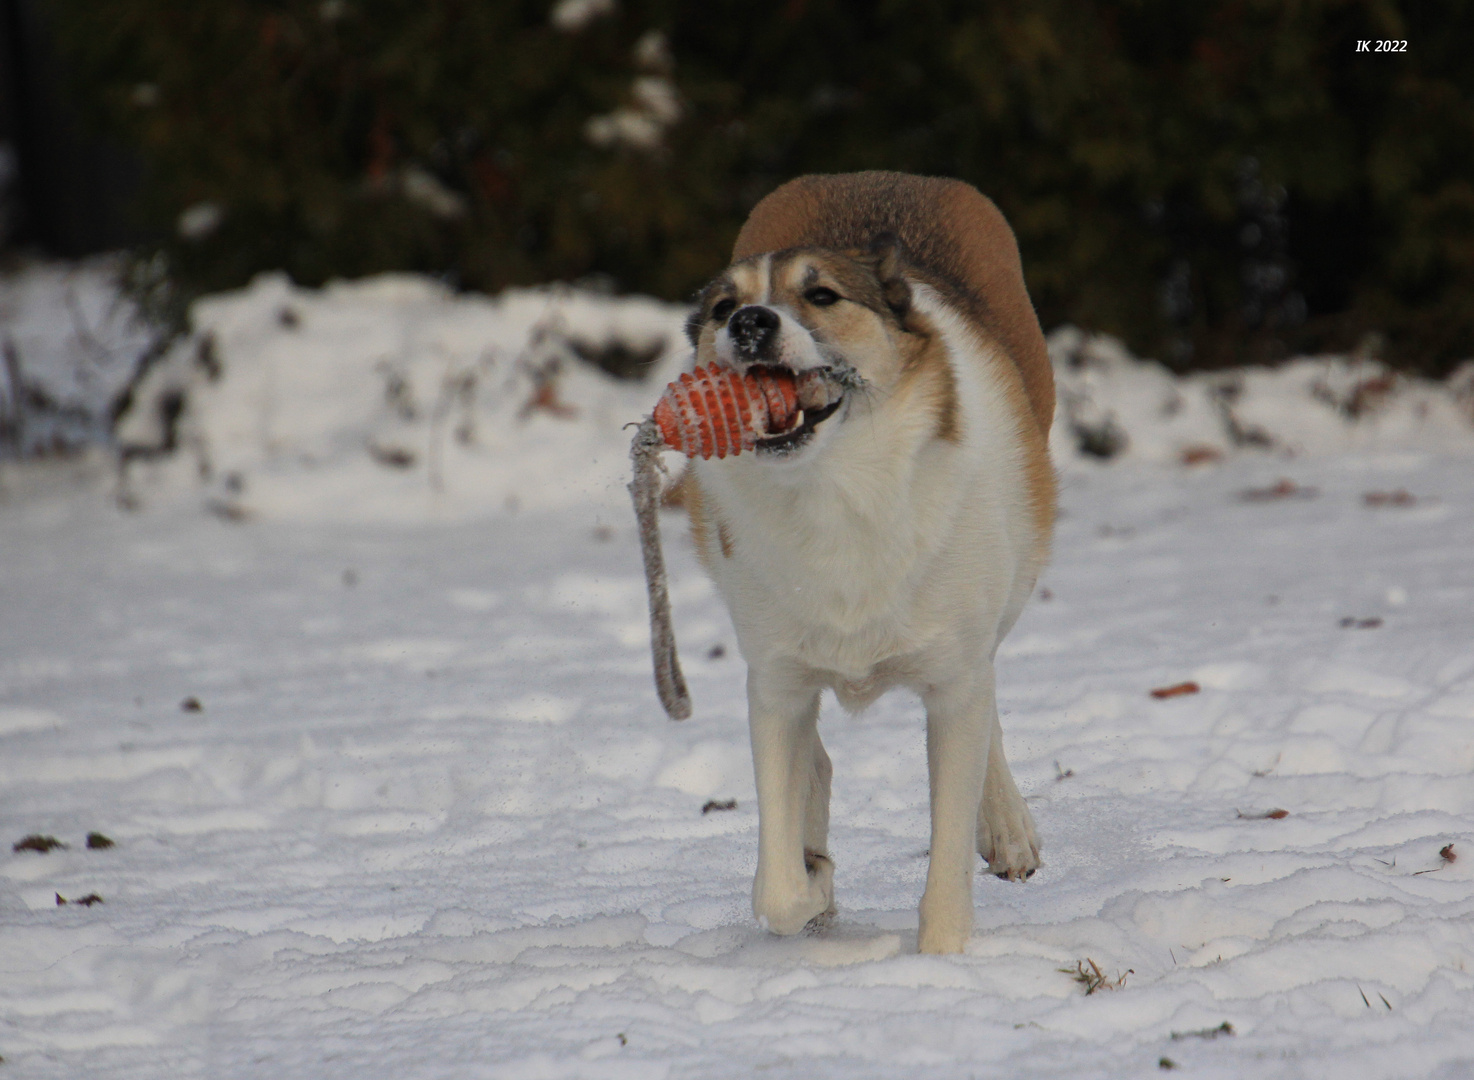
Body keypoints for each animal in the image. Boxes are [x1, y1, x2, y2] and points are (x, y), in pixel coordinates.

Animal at [675, 168, 1055, 954]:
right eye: (724, 306)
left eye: (822, 296)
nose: (749, 322)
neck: (836, 489)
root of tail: (886, 176)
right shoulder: (776, 685)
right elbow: (778, 884)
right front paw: (811, 879)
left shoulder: (954, 684)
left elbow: (948, 854)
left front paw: (940, 958)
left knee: (989, 706)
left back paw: (1007, 829)